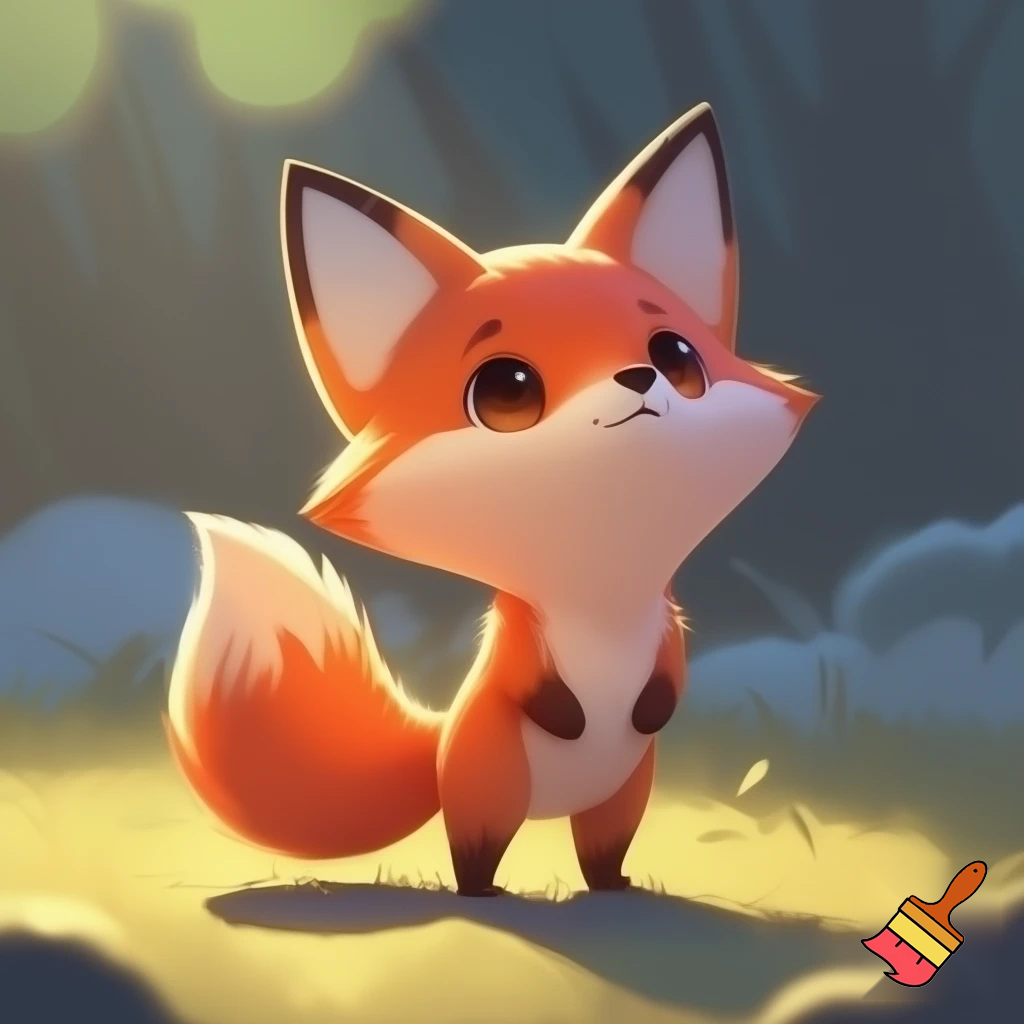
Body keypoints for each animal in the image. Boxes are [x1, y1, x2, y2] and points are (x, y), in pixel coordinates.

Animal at [166, 103, 818, 896]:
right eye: (507, 390)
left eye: (677, 356)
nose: (640, 378)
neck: (598, 592)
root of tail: (443, 740)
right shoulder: (519, 637)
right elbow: (533, 688)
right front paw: (566, 717)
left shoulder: (663, 622)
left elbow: (670, 676)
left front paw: (648, 708)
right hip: (492, 787)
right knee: (476, 851)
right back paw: (487, 888)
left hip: (623, 794)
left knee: (601, 851)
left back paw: (613, 884)